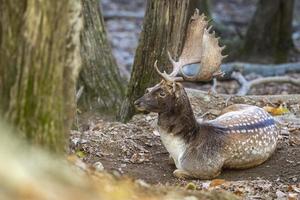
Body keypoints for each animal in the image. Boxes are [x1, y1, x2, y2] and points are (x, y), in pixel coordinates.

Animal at [134, 10, 278, 180]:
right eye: (151, 87)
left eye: (162, 93)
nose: (137, 102)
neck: (179, 150)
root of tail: (270, 115)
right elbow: (169, 161)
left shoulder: (208, 169)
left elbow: (177, 172)